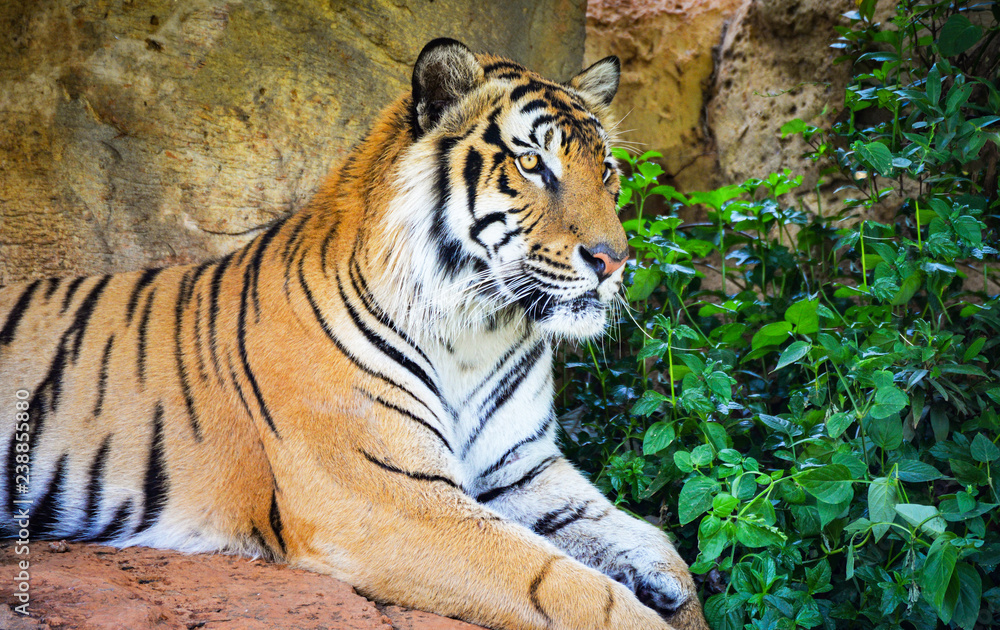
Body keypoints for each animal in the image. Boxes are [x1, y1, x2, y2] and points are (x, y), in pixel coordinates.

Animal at [0, 38, 707, 630]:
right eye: (532, 162)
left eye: (608, 170)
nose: (613, 261)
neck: (478, 332)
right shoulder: (387, 496)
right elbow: (566, 585)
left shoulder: (522, 470)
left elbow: (658, 544)